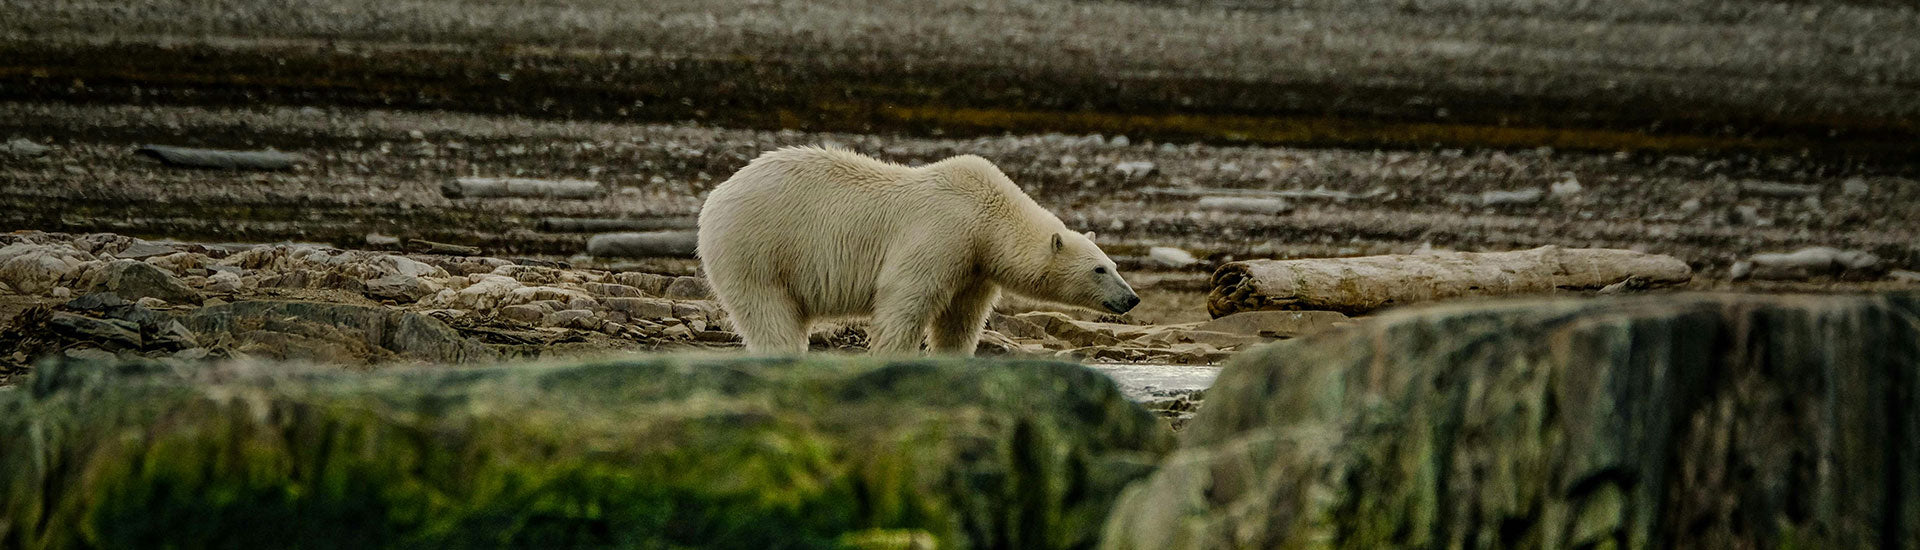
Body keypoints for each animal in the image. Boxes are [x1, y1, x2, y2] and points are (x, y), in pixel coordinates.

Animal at [696, 146, 1139, 356]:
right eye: (1099, 270)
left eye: (1113, 264)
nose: (1131, 298)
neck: (987, 215)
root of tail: (716, 197)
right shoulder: (942, 235)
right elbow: (905, 299)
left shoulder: (975, 265)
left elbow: (960, 319)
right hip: (758, 249)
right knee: (769, 313)